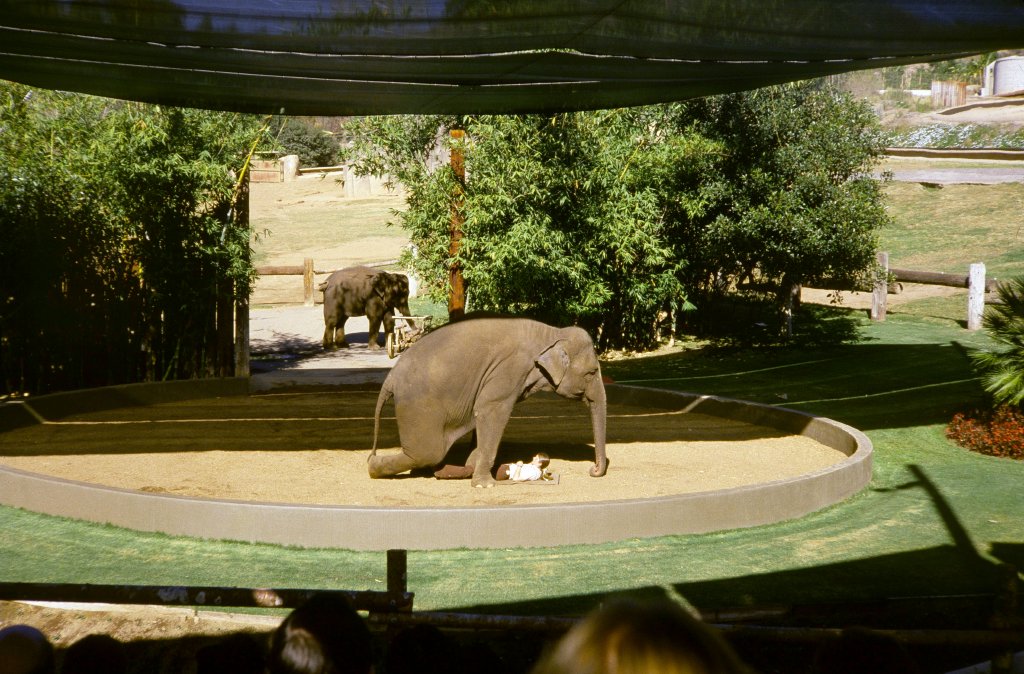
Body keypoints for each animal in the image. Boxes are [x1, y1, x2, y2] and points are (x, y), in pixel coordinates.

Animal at [368, 317, 608, 487]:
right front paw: (485, 484)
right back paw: (372, 466)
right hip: (419, 407)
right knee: (426, 452)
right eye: (591, 373)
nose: (593, 471)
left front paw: (472, 467)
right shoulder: (508, 370)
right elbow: (491, 410)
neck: (552, 333)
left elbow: (480, 416)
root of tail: (390, 377)